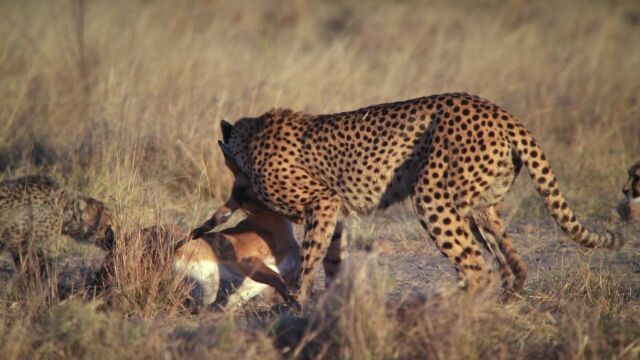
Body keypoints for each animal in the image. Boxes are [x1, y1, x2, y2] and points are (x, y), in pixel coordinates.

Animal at [198, 93, 624, 298]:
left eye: (237, 190)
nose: (226, 206)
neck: (251, 139)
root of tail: (499, 111)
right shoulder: (334, 212)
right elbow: (331, 259)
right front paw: (327, 305)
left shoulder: (323, 201)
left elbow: (308, 260)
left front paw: (298, 302)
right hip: (480, 209)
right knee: (513, 265)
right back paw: (501, 306)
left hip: (433, 198)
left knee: (477, 268)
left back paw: (453, 310)